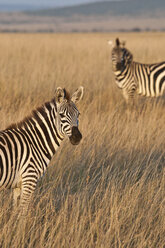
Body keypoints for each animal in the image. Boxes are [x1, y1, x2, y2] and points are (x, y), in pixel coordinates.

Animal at [0, 86, 84, 215]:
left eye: (78, 114)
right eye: (61, 115)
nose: (77, 137)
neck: (35, 142)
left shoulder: (18, 185)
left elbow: (15, 211)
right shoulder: (29, 179)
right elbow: (23, 213)